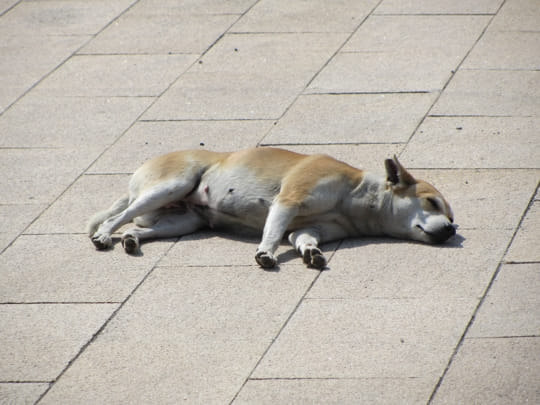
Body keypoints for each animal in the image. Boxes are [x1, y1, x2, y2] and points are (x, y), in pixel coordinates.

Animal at [87, 146, 456, 268]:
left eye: (452, 217)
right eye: (431, 201)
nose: (451, 230)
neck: (357, 196)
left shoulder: (312, 228)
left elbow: (300, 238)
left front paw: (311, 253)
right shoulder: (288, 200)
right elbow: (275, 231)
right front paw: (266, 252)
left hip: (183, 221)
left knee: (138, 228)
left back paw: (132, 240)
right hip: (170, 185)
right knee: (118, 217)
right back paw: (104, 235)